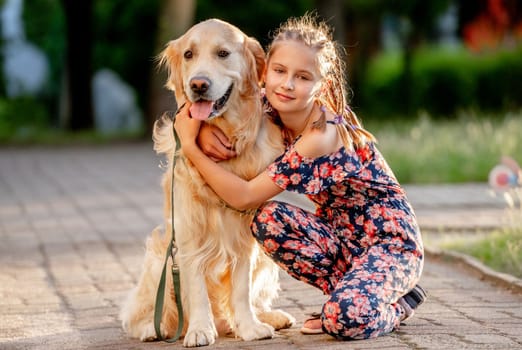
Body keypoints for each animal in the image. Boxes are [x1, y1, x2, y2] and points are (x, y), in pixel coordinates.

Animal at [119, 17, 294, 346]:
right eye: (188, 54)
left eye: (223, 53)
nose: (198, 85)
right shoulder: (187, 235)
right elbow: (196, 287)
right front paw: (200, 329)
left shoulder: (244, 234)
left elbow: (241, 290)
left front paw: (249, 327)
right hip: (159, 256)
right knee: (143, 311)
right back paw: (153, 328)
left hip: (265, 260)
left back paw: (268, 317)